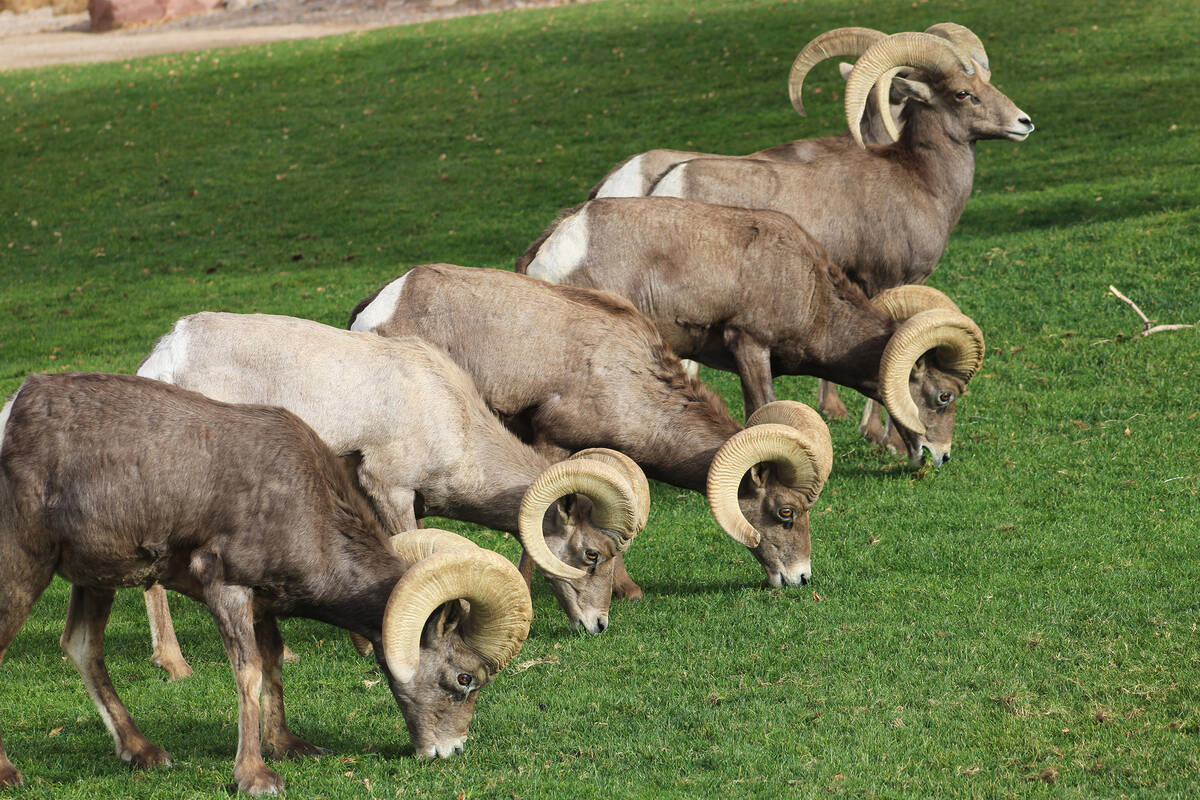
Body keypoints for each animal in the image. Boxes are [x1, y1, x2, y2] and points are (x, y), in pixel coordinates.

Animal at [0, 374, 535, 796]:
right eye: (464, 679)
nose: (451, 750)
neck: (306, 507)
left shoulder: (262, 604)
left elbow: (274, 661)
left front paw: (288, 746)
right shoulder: (228, 589)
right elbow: (250, 673)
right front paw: (255, 776)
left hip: (95, 580)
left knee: (82, 646)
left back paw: (145, 753)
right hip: (25, 565)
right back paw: (11, 774)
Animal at [131, 311, 648, 681]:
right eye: (592, 555)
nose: (598, 625)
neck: (454, 421)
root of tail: (167, 357)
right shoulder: (390, 487)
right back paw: (178, 666)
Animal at [518, 196, 984, 465]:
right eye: (944, 396)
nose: (939, 456)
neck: (812, 291)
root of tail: (559, 240)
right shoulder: (751, 346)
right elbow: (763, 407)